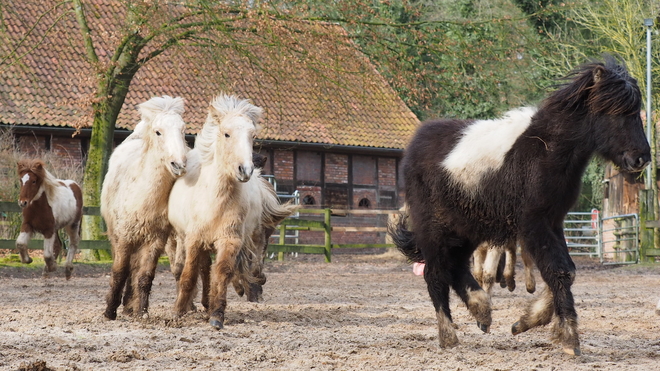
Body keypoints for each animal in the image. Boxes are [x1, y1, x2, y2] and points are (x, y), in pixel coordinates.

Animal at [100, 97, 188, 322]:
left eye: (183, 130)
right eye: (158, 132)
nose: (179, 164)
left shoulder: (155, 240)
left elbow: (145, 276)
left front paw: (142, 312)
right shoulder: (124, 237)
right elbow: (119, 272)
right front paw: (109, 311)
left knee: (135, 270)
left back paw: (130, 307)